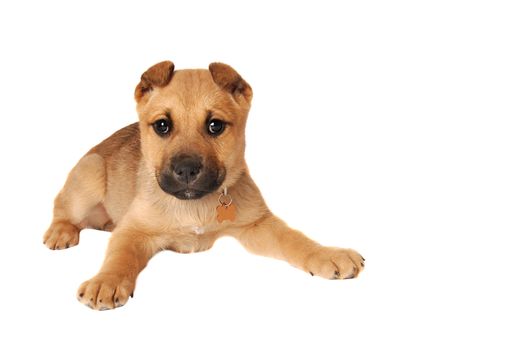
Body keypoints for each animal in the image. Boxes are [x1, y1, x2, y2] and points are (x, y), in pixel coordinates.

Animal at [44, 61, 364, 310]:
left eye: (215, 126)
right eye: (162, 125)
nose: (186, 169)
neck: (194, 204)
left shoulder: (257, 224)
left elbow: (295, 240)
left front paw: (328, 254)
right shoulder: (133, 231)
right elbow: (120, 257)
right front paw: (106, 282)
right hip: (90, 174)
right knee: (61, 207)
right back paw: (61, 232)